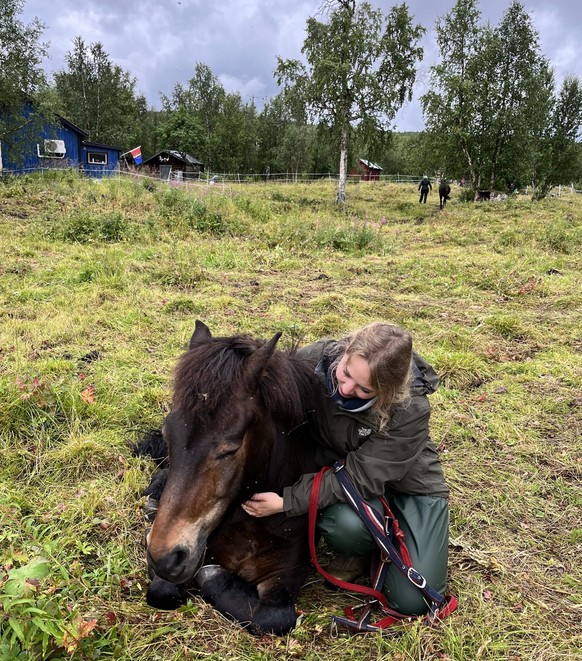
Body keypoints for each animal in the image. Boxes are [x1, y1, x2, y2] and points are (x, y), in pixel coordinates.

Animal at [138, 320, 320, 636]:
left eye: (230, 449)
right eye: (167, 434)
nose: (165, 556)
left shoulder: (285, 577)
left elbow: (272, 619)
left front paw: (211, 576)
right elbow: (162, 592)